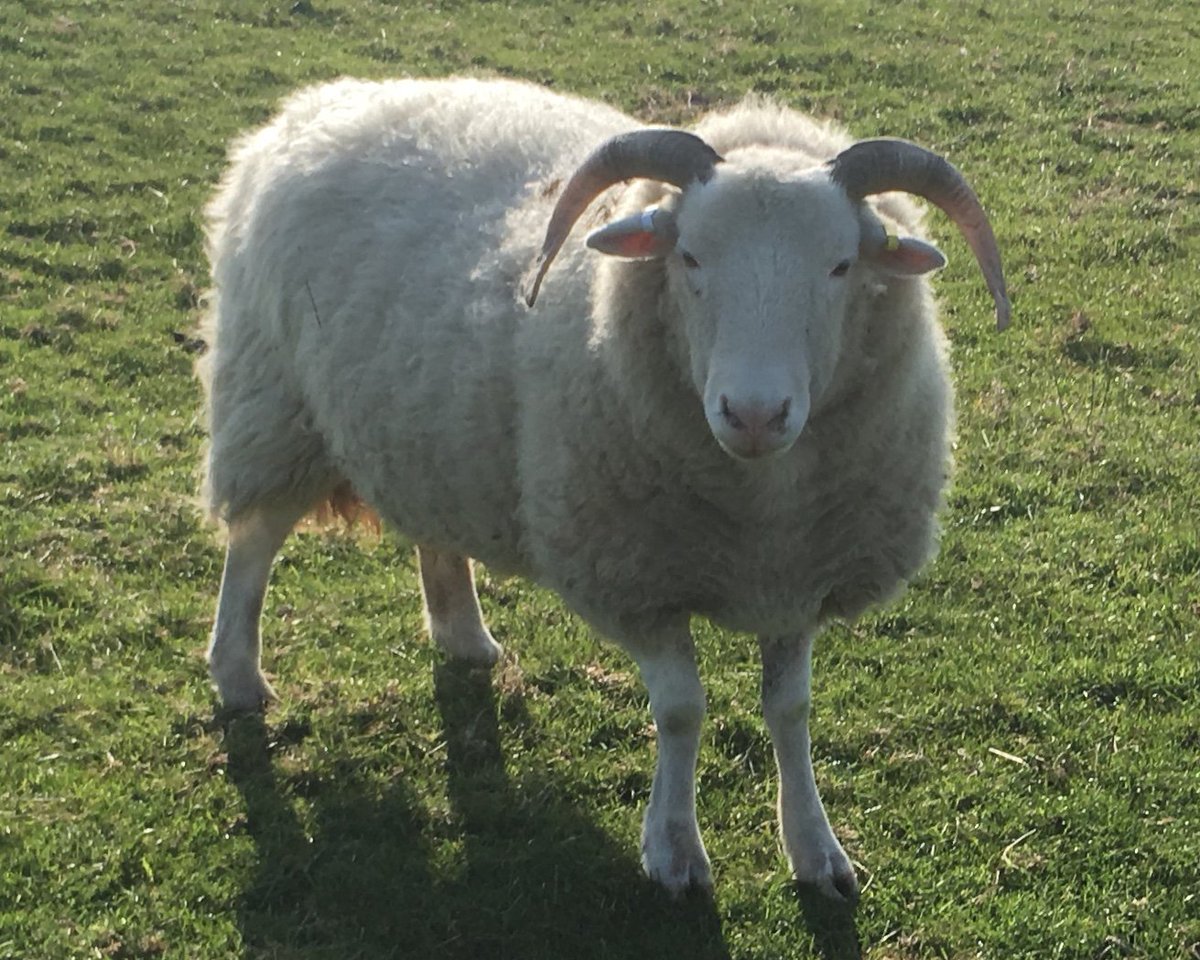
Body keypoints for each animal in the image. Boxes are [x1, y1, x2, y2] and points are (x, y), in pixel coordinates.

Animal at [198, 75, 1010, 903]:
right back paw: (237, 674)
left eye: (842, 265)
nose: (754, 414)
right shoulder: (634, 577)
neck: (760, 508)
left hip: (425, 427)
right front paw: (675, 852)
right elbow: (682, 711)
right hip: (272, 398)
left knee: (433, 531)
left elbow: (791, 710)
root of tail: (317, 105)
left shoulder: (799, 579)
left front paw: (815, 849)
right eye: (689, 256)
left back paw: (463, 635)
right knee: (252, 542)